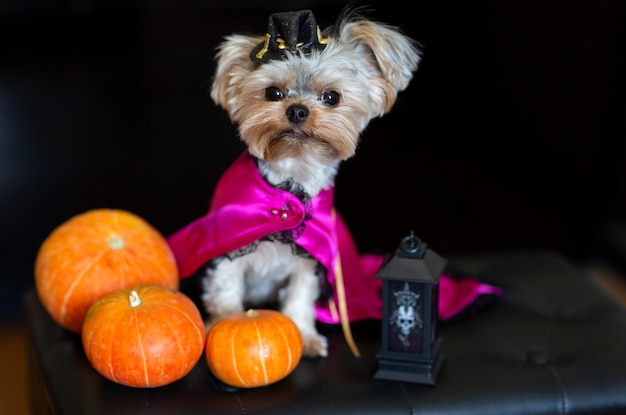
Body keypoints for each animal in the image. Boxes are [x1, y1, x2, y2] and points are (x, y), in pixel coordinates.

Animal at [168, 7, 416, 358]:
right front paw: (222, 326)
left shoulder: (309, 262)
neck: (290, 187)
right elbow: (226, 294)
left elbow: (299, 297)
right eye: (273, 93)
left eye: (331, 97)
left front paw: (305, 336)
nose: (297, 110)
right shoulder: (227, 254)